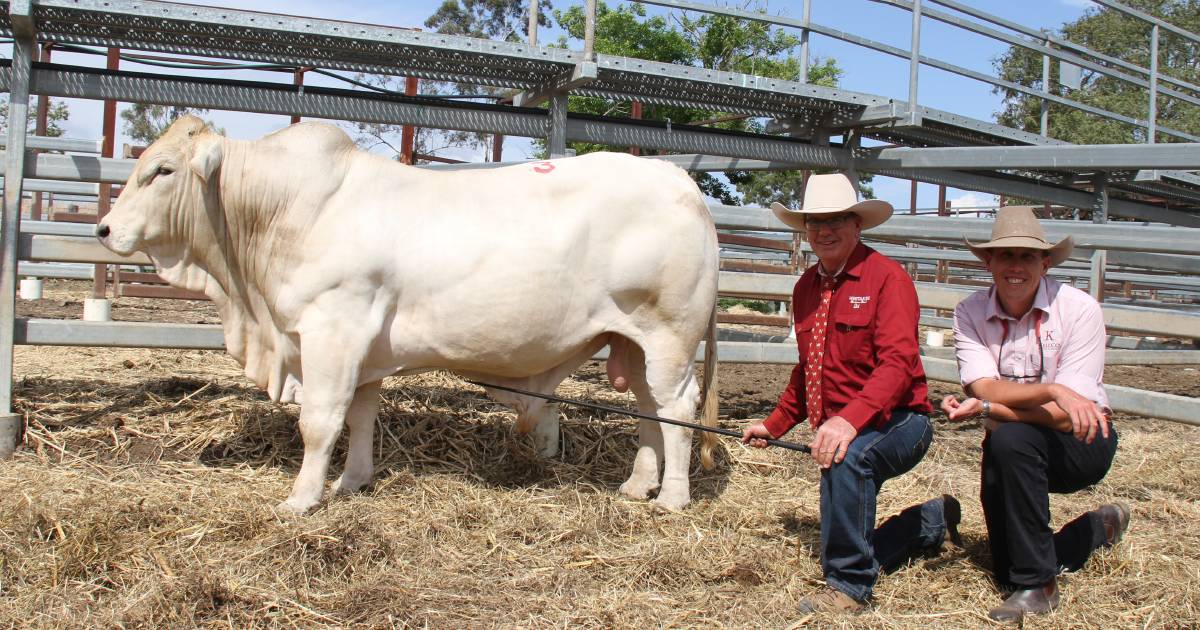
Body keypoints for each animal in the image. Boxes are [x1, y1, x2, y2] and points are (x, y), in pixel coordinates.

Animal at [98, 115, 715, 513]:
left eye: (162, 171)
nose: (104, 229)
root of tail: (679, 180)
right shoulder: (365, 350)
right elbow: (361, 416)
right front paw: (352, 482)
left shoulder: (332, 329)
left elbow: (319, 420)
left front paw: (301, 500)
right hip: (632, 340)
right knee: (650, 409)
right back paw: (637, 486)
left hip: (669, 335)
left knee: (677, 407)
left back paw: (673, 498)